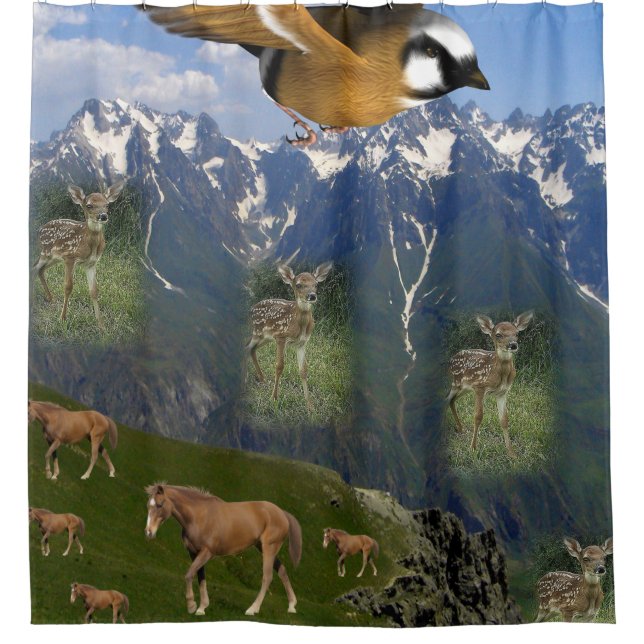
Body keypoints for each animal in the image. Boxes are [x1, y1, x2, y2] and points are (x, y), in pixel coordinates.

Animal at [32, 180, 126, 331]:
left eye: (107, 204)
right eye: (89, 205)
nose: (103, 216)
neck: (89, 244)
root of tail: (39, 229)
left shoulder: (91, 263)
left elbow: (94, 290)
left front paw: (101, 326)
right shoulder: (70, 258)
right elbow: (68, 287)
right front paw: (62, 319)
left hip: (54, 258)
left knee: (40, 270)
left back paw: (51, 298)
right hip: (45, 252)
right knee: (34, 267)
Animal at [144, 483, 302, 616]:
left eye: (159, 505)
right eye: (148, 506)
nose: (148, 532)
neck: (199, 517)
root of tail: (282, 513)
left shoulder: (206, 553)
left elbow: (189, 575)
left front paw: (191, 606)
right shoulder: (194, 553)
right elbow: (200, 576)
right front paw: (202, 608)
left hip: (269, 548)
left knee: (267, 577)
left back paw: (252, 609)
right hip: (264, 548)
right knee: (282, 570)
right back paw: (291, 606)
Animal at [245, 262, 333, 409]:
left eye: (316, 284)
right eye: (298, 285)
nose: (312, 296)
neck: (299, 325)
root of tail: (251, 309)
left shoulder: (302, 342)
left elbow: (303, 370)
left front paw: (310, 406)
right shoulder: (281, 337)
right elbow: (279, 366)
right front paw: (274, 398)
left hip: (266, 338)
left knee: (251, 348)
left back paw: (262, 379)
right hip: (257, 332)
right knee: (246, 346)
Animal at [446, 310, 534, 457]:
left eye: (517, 333)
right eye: (498, 334)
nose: (513, 345)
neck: (499, 374)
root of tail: (451, 360)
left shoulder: (502, 392)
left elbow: (504, 420)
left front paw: (512, 453)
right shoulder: (480, 387)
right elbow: (478, 417)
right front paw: (473, 448)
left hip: (464, 388)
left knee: (451, 400)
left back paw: (460, 428)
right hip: (455, 384)